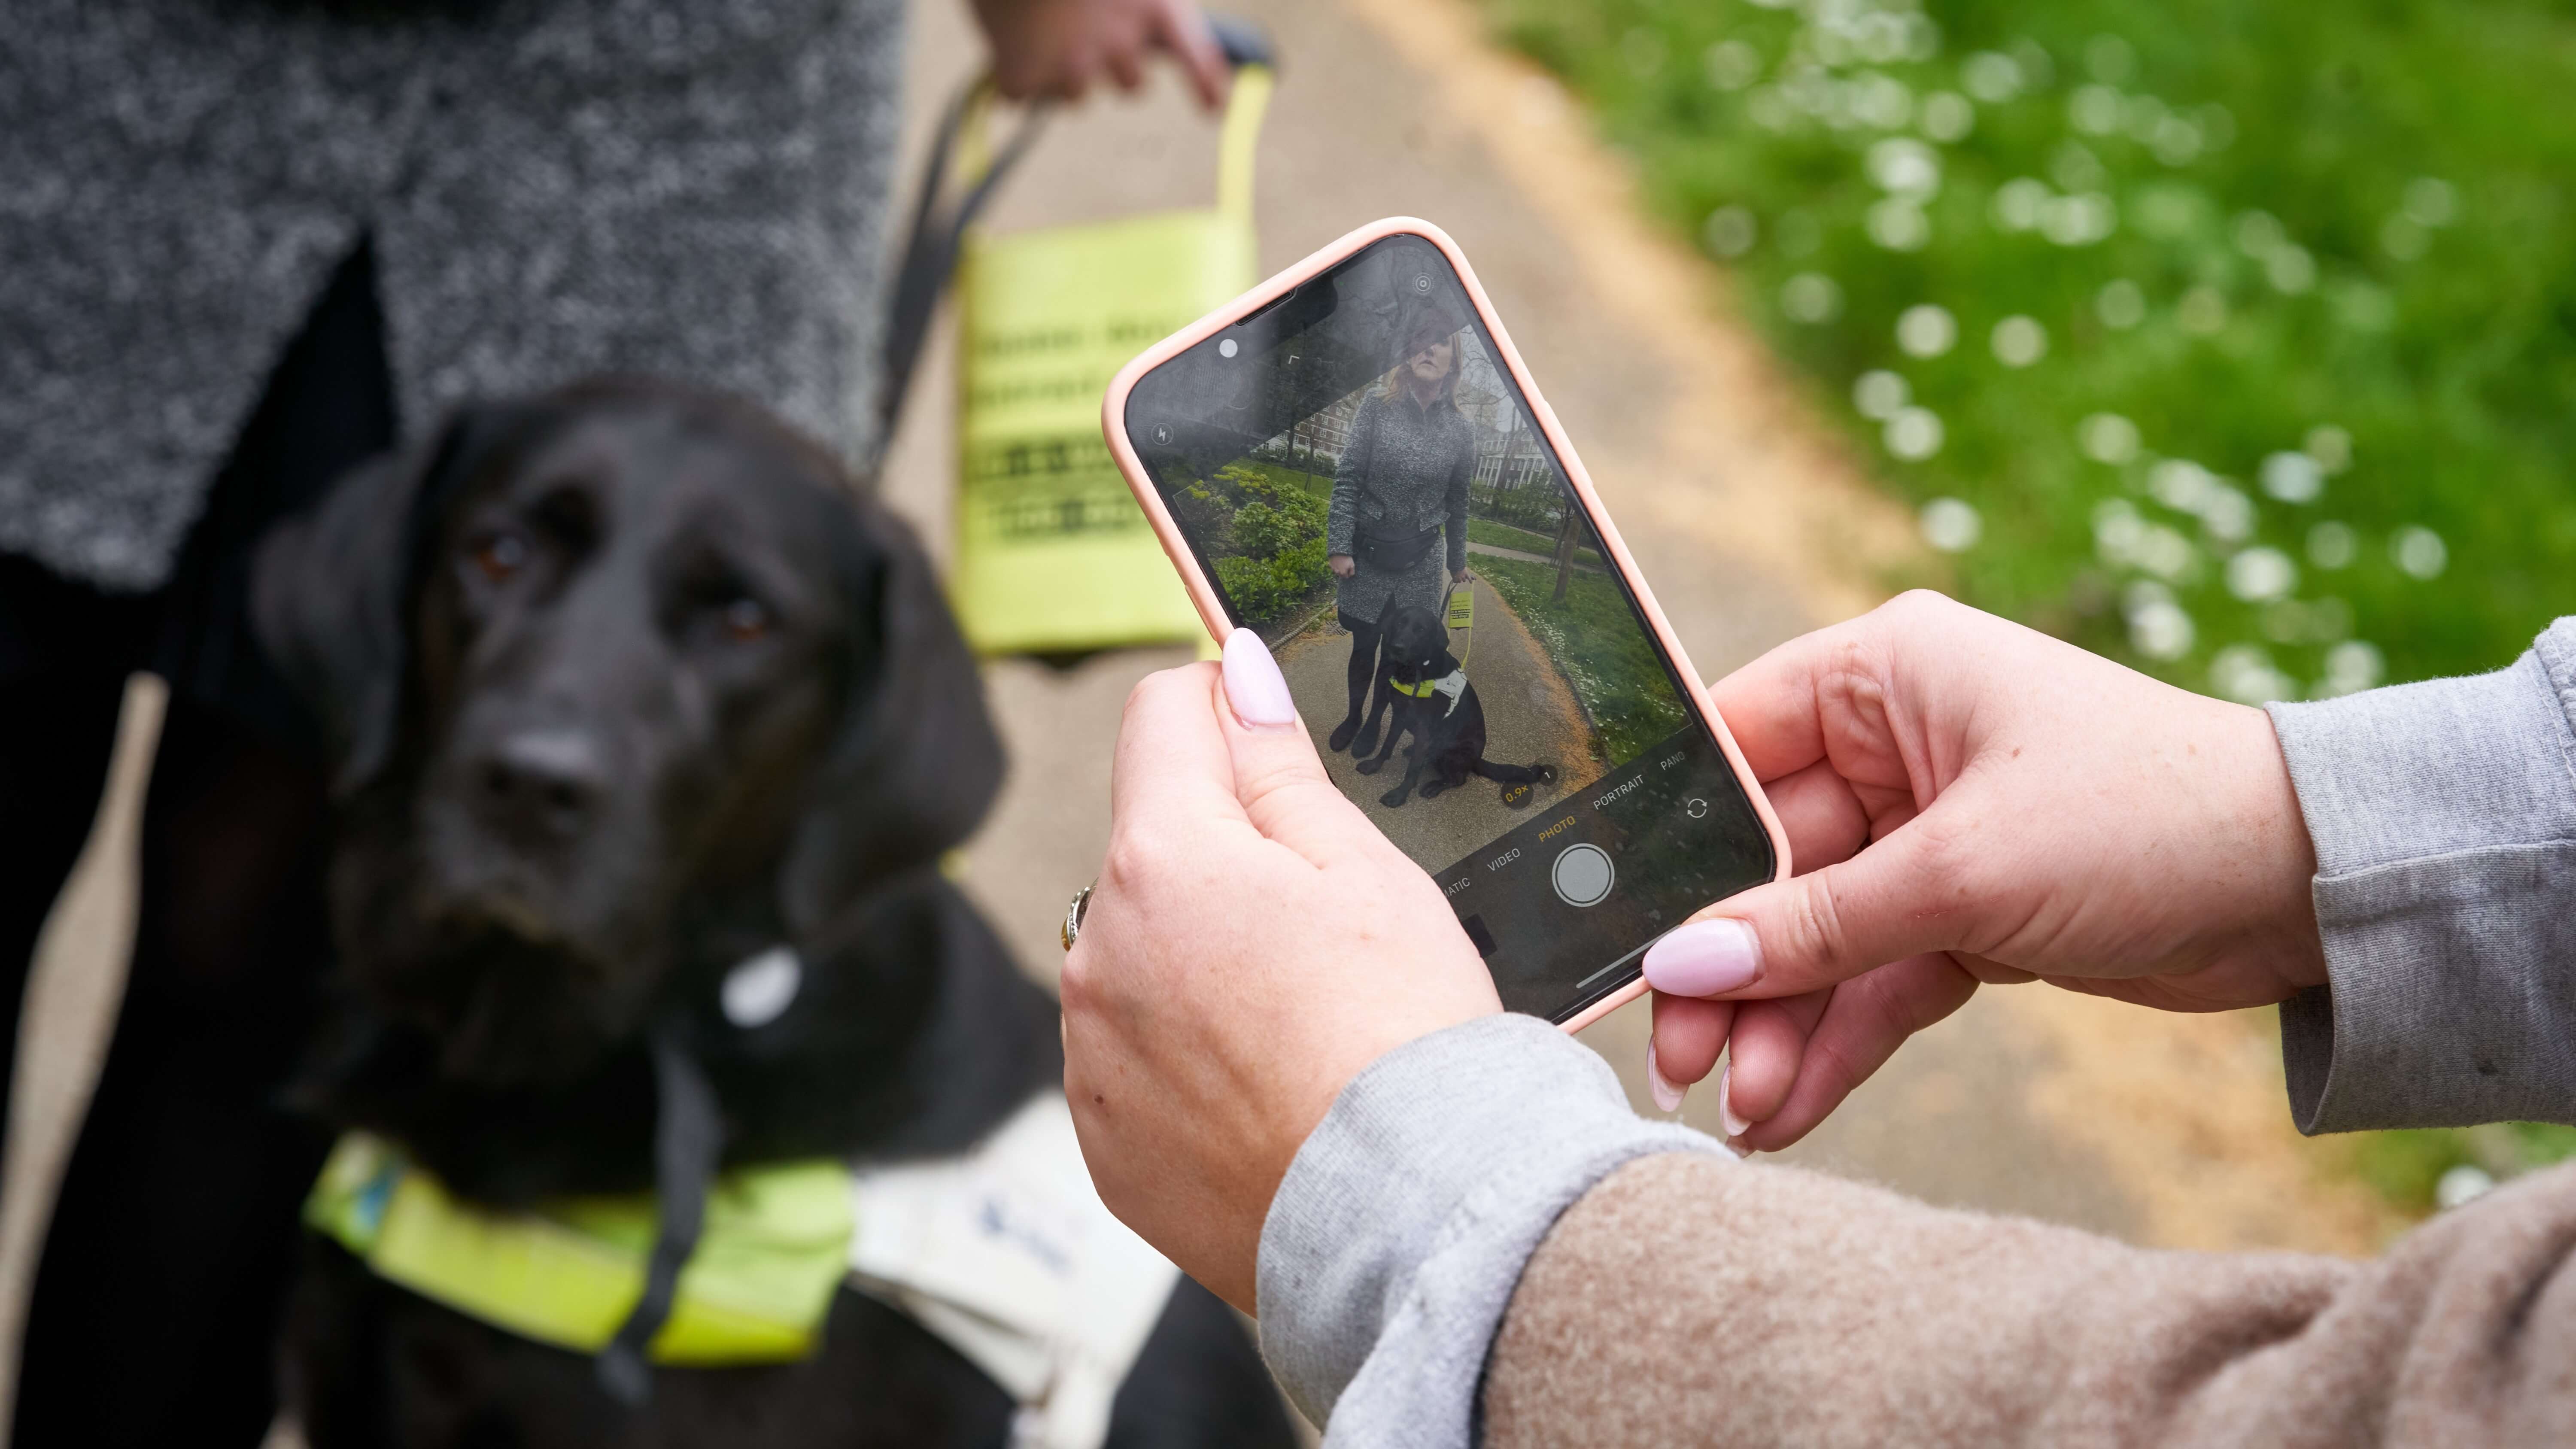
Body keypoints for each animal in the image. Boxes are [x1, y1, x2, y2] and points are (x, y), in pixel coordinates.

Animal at [1360, 595, 1556, 804]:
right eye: (1399, 623)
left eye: (1421, 630)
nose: (1396, 648)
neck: (1417, 672)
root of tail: (1476, 760)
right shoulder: (1400, 717)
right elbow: (1387, 746)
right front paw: (1374, 765)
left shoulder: (1425, 731)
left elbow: (1412, 770)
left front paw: (1399, 795)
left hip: (1453, 752)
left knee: (1459, 779)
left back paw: (1435, 786)